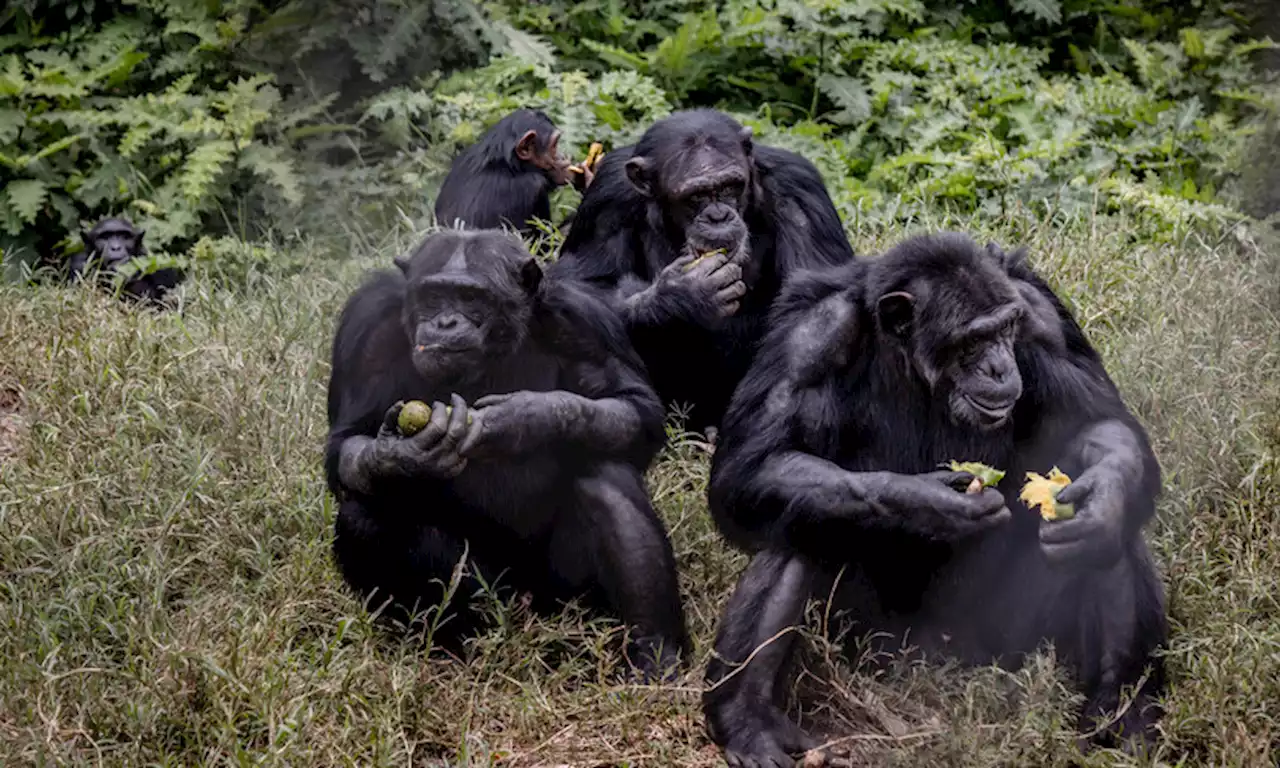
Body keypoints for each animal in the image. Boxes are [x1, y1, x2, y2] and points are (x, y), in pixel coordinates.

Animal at [327, 225, 691, 675]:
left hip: (565, 603)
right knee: (367, 515)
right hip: (493, 595)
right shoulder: (367, 326)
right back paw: (452, 651)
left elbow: (635, 407)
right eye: (433, 296)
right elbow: (346, 441)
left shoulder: (585, 317)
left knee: (606, 477)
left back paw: (655, 655)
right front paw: (403, 456)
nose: (445, 322)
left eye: (471, 298)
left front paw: (523, 419)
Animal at [547, 108, 849, 435]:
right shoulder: (607, 194)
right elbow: (581, 283)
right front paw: (682, 295)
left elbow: (815, 294)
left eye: (730, 187)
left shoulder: (800, 190)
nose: (718, 217)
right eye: (695, 196)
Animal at [701, 234, 1172, 768]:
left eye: (1006, 329)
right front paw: (932, 505)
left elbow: (1097, 422)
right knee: (798, 523)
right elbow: (754, 465)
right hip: (874, 646)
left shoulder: (1040, 313)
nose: (999, 365)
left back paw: (1124, 718)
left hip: (1009, 643)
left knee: (1111, 540)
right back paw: (748, 721)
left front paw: (1101, 505)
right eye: (972, 341)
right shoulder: (809, 339)